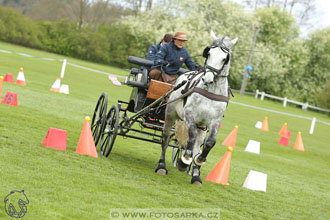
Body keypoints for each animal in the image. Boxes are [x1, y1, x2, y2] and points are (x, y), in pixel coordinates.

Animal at [155, 31, 237, 185]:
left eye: (225, 58)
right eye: (208, 53)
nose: (208, 79)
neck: (211, 91)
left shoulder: (215, 121)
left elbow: (209, 143)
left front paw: (199, 160)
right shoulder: (189, 113)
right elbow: (191, 134)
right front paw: (184, 161)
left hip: (202, 127)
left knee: (197, 145)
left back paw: (196, 176)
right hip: (170, 115)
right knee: (166, 138)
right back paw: (161, 166)